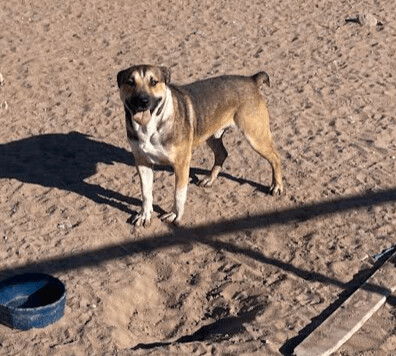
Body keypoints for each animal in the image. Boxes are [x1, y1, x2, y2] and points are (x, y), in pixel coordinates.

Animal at [116, 64, 284, 225]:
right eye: (130, 82)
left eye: (154, 82)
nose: (142, 101)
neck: (150, 126)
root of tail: (252, 79)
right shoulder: (142, 162)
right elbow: (146, 193)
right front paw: (144, 215)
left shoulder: (181, 163)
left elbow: (178, 193)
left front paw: (175, 214)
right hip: (212, 135)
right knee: (222, 154)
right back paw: (210, 179)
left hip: (255, 136)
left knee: (276, 158)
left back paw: (277, 186)